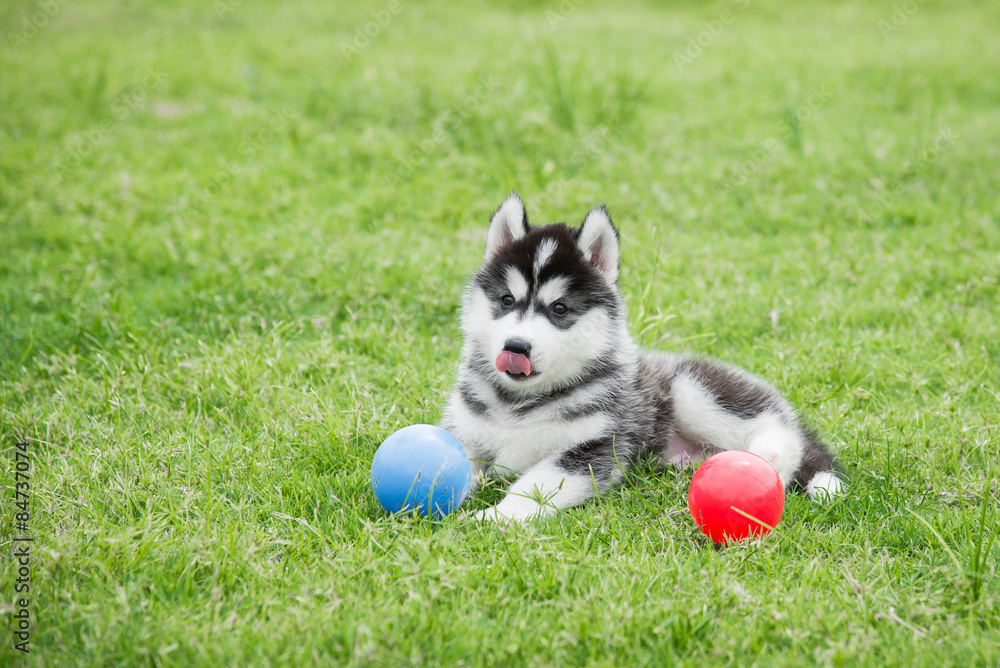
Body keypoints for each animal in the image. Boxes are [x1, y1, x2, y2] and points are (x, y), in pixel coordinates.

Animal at [442, 192, 840, 520]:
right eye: (506, 300)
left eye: (559, 308)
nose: (515, 347)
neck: (520, 404)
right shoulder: (467, 435)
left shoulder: (597, 448)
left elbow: (536, 484)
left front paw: (496, 517)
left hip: (692, 390)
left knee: (782, 430)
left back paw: (769, 459)